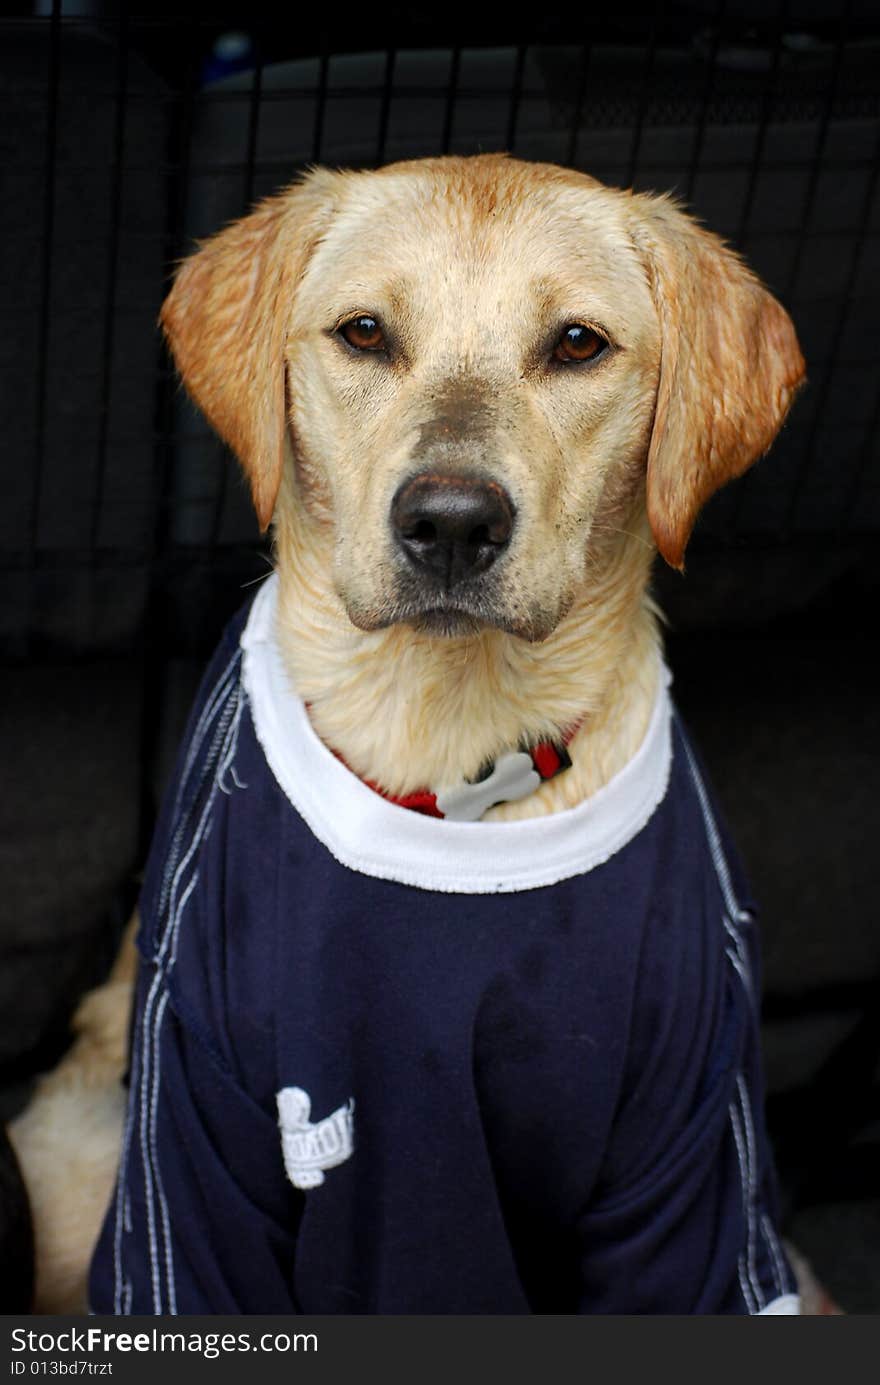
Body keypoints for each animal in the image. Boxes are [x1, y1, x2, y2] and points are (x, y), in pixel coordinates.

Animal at [13, 157, 814, 1312]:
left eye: (578, 343)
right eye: (363, 333)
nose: (449, 522)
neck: (453, 755)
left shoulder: (695, 1154)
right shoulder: (192, 1141)